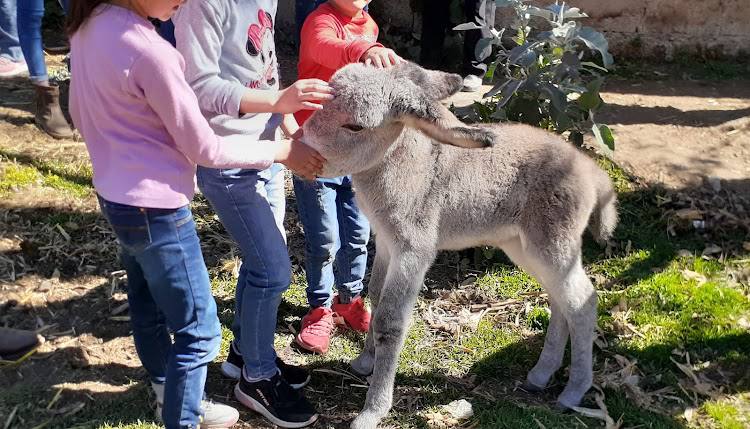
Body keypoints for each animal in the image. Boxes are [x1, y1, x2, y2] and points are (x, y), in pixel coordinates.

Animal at [302, 61, 620, 428]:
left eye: (355, 126)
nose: (299, 143)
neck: (407, 166)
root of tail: (591, 171)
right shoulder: (384, 241)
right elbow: (377, 297)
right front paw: (365, 362)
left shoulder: (414, 249)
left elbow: (390, 322)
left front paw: (373, 410)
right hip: (525, 246)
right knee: (560, 300)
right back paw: (541, 375)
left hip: (554, 241)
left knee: (583, 301)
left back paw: (574, 391)